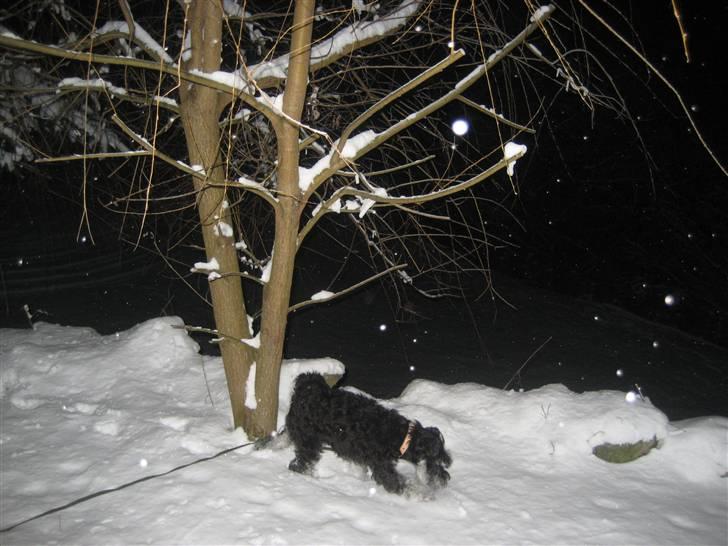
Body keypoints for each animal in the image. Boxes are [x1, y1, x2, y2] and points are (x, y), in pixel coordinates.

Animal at [284, 370, 450, 492]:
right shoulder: (382, 467)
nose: (445, 479)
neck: (398, 435)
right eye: (435, 460)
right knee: (298, 464)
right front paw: (423, 496)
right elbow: (399, 485)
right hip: (309, 442)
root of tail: (305, 389)